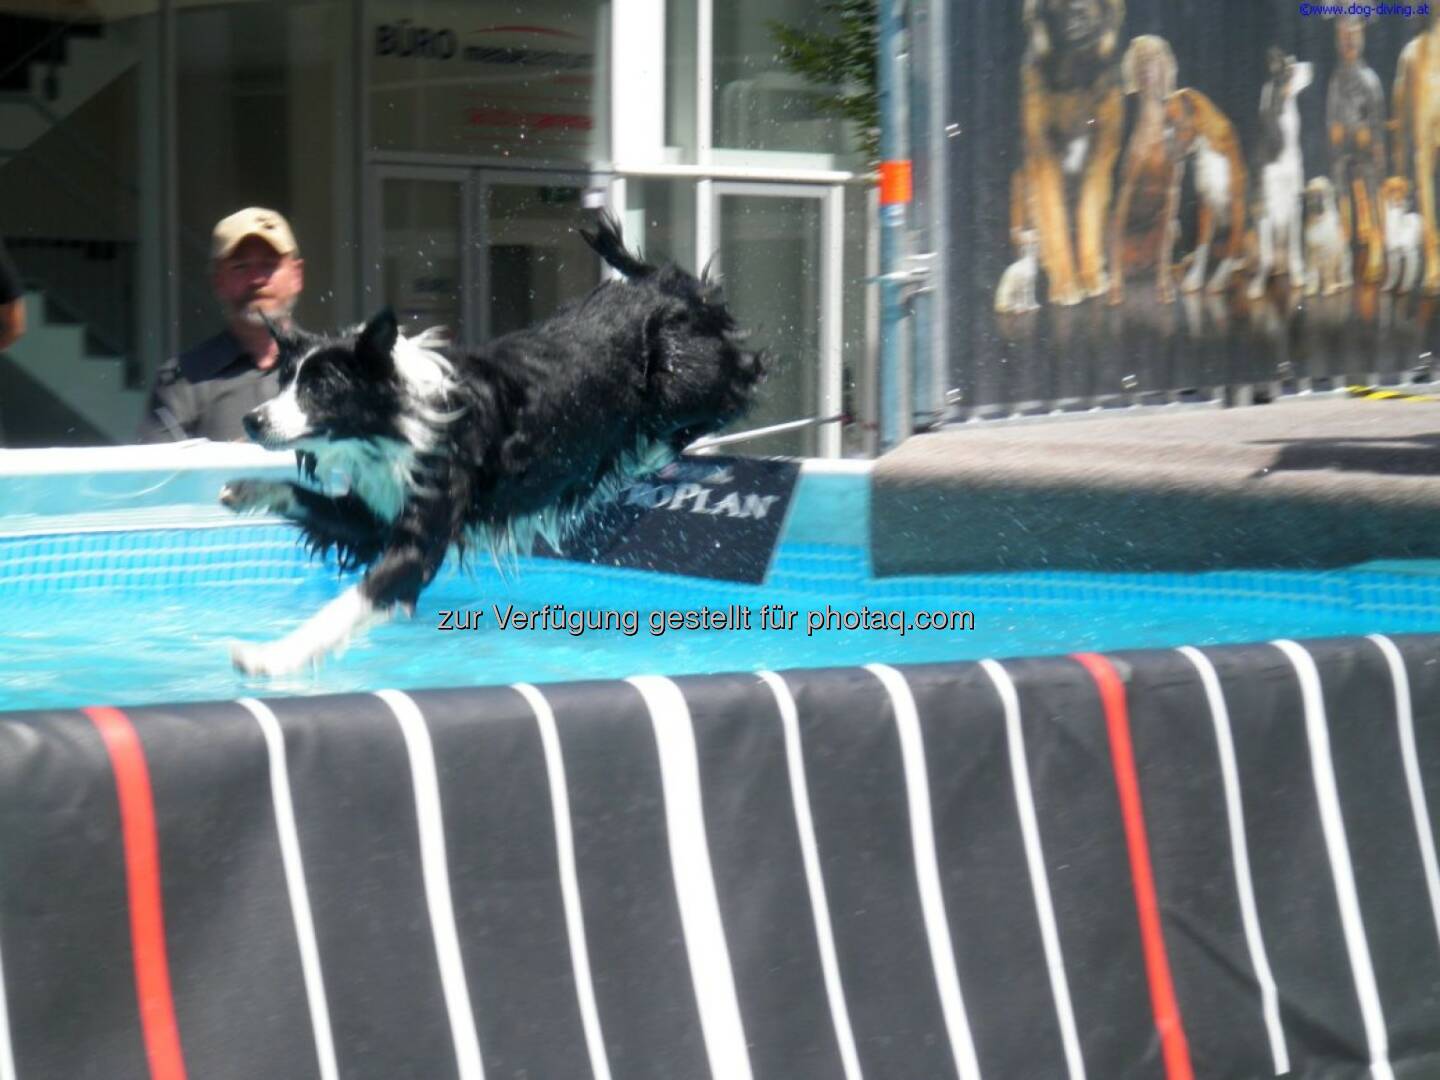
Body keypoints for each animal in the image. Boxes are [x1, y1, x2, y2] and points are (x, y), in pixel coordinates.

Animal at [221, 218, 766, 676]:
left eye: (320, 388)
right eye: (286, 381)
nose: (251, 420)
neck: (397, 419)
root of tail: (673, 289)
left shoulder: (421, 535)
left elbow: (355, 599)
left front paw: (271, 656)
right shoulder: (373, 517)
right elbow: (306, 497)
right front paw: (245, 489)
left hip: (682, 376)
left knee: (738, 382)